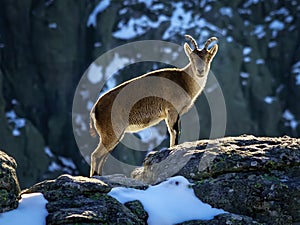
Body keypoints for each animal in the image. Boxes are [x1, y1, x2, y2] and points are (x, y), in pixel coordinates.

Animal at [89, 34, 218, 176]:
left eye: (208, 58)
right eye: (192, 57)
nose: (200, 71)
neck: (184, 81)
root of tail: (95, 109)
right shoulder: (172, 110)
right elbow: (174, 131)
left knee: (102, 156)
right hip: (112, 131)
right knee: (96, 155)